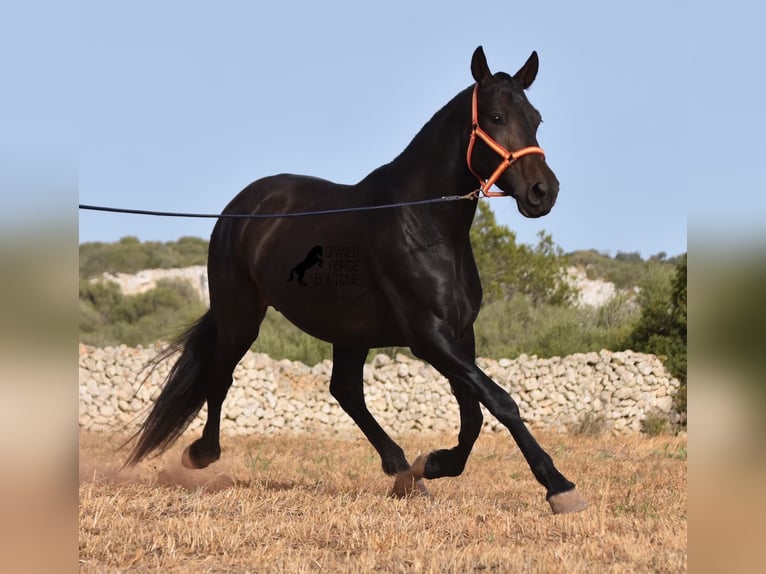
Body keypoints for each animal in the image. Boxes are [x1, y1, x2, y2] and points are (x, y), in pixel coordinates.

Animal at [130, 47, 588, 516]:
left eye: (535, 118)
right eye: (496, 117)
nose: (543, 192)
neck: (424, 223)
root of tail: (238, 210)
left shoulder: (461, 334)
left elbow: (474, 416)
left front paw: (432, 464)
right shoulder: (429, 337)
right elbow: (500, 401)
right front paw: (559, 486)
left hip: (348, 331)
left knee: (345, 391)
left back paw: (403, 472)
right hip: (241, 316)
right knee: (221, 376)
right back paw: (201, 454)